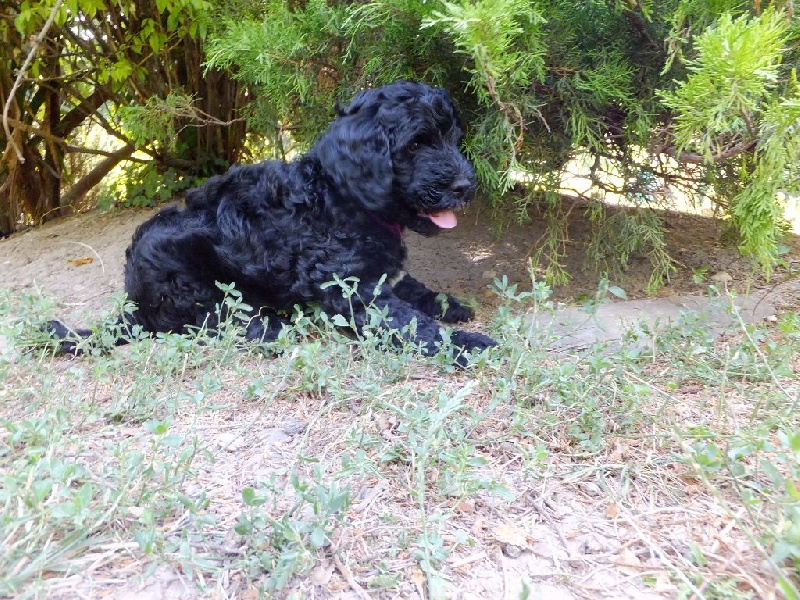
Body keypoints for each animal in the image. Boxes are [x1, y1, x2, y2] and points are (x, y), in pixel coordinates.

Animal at [49, 81, 497, 362]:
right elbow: (409, 323)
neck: (342, 195)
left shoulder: (379, 274)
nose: (466, 185)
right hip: (185, 275)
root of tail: (133, 305)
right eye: (417, 144)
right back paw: (272, 328)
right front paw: (469, 345)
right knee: (208, 321)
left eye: (453, 139)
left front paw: (449, 305)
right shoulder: (350, 288)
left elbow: (411, 287)